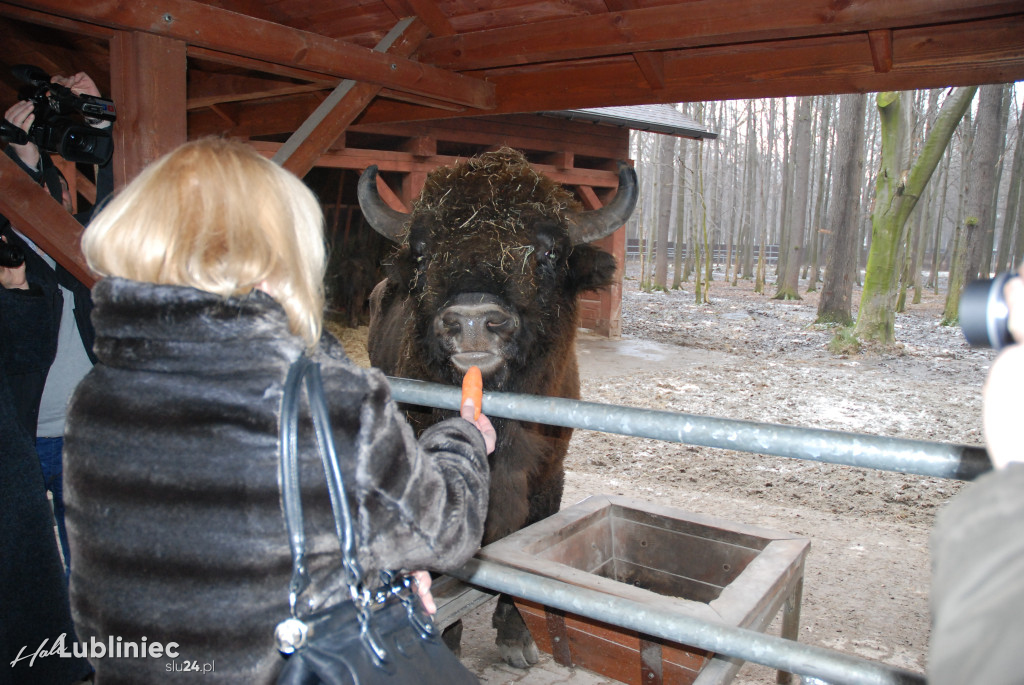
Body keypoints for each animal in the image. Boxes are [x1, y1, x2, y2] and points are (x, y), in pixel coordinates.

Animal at [356, 148, 634, 667]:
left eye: (548, 251)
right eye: (423, 251)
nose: (471, 321)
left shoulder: (546, 478)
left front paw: (517, 638)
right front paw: (447, 638)